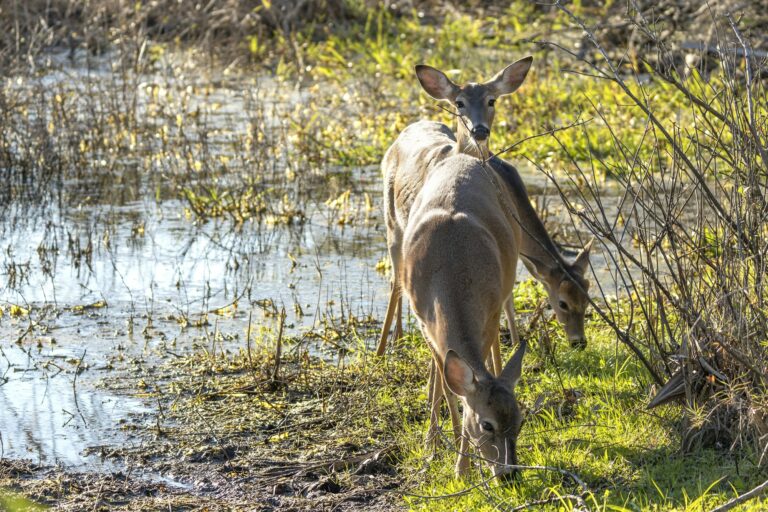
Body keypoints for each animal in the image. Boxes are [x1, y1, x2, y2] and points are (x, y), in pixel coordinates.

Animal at [378, 60, 592, 372]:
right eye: (562, 302)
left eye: (587, 299)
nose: (579, 342)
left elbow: (508, 298)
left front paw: (516, 342)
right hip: (392, 223)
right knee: (395, 281)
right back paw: (383, 348)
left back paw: (399, 339)